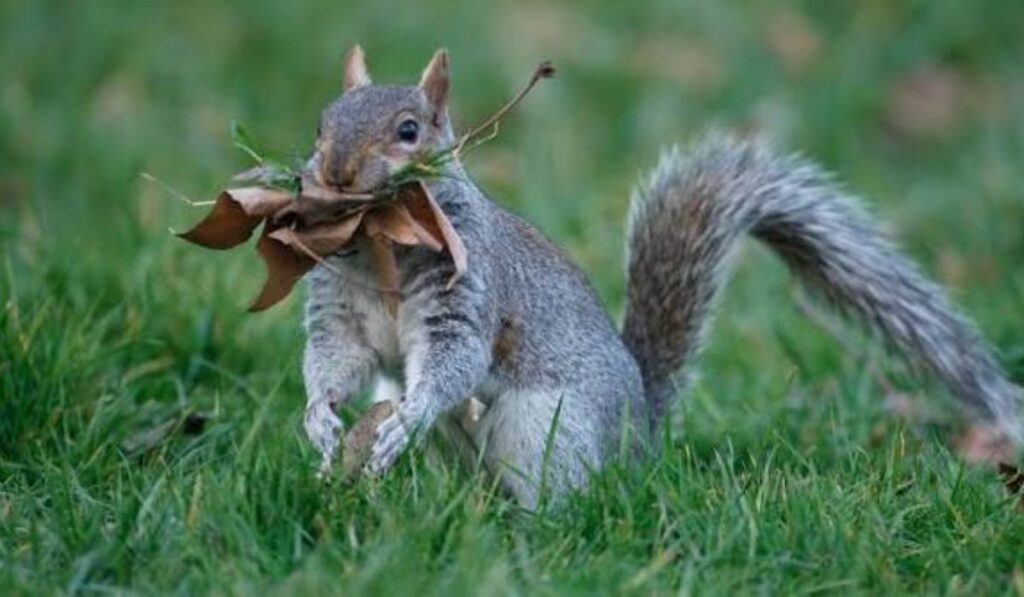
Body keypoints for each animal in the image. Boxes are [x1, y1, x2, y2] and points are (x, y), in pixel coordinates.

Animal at [301, 46, 1023, 507]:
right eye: (320, 124)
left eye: (409, 130)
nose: (335, 171)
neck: (383, 248)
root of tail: (637, 436)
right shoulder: (341, 308)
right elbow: (338, 357)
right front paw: (320, 420)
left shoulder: (468, 289)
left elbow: (455, 360)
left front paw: (407, 418)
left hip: (548, 429)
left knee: (557, 493)